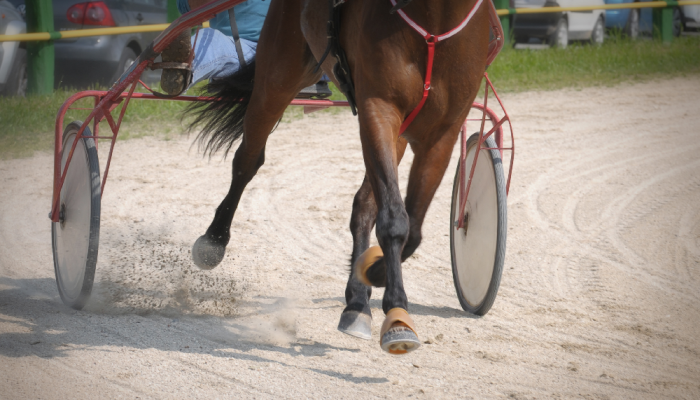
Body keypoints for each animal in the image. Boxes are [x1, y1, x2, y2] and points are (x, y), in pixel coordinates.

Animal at [187, 0, 492, 354]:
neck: (435, 21)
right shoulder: (378, 107)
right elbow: (394, 222)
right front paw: (396, 313)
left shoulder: (442, 132)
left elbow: (412, 230)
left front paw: (372, 274)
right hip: (278, 74)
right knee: (248, 159)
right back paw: (214, 240)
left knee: (364, 205)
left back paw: (357, 302)